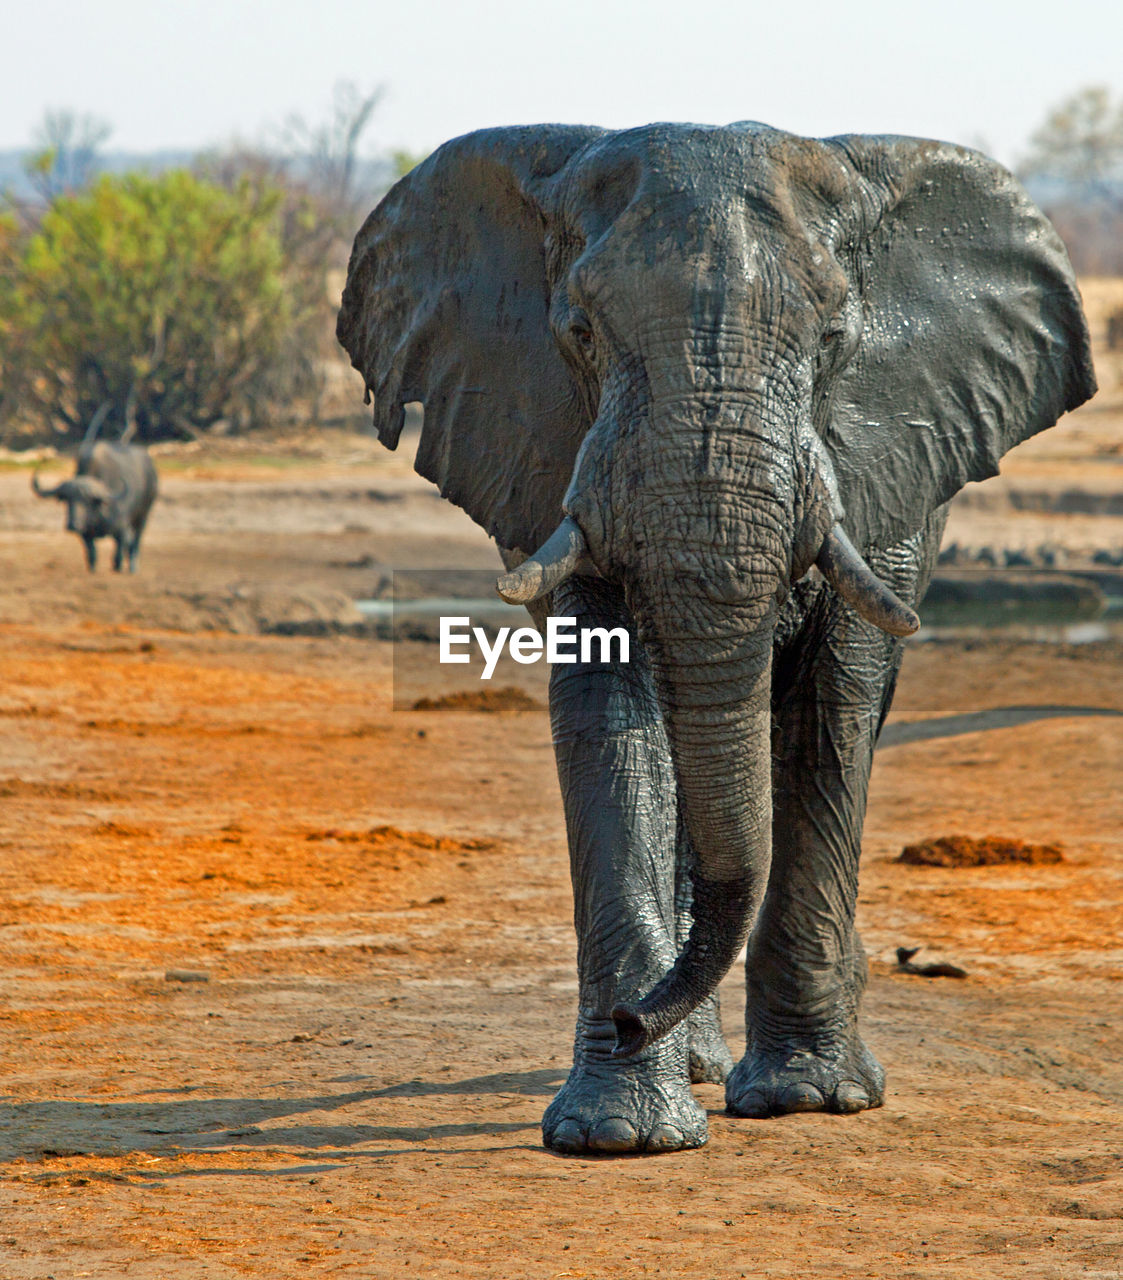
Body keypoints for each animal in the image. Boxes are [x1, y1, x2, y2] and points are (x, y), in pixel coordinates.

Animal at [32, 445, 157, 576]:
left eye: (86, 501)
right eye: (67, 499)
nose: (72, 525)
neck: (98, 514)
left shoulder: (121, 529)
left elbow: (118, 554)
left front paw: (118, 568)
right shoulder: (85, 533)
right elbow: (92, 553)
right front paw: (93, 569)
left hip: (143, 515)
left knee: (136, 540)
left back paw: (133, 566)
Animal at [335, 124, 1096, 1157]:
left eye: (833, 341)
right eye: (579, 335)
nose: (627, 1021)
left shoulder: (881, 468)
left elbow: (831, 708)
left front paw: (809, 1099)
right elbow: (611, 721)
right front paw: (619, 1135)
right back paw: (687, 1058)